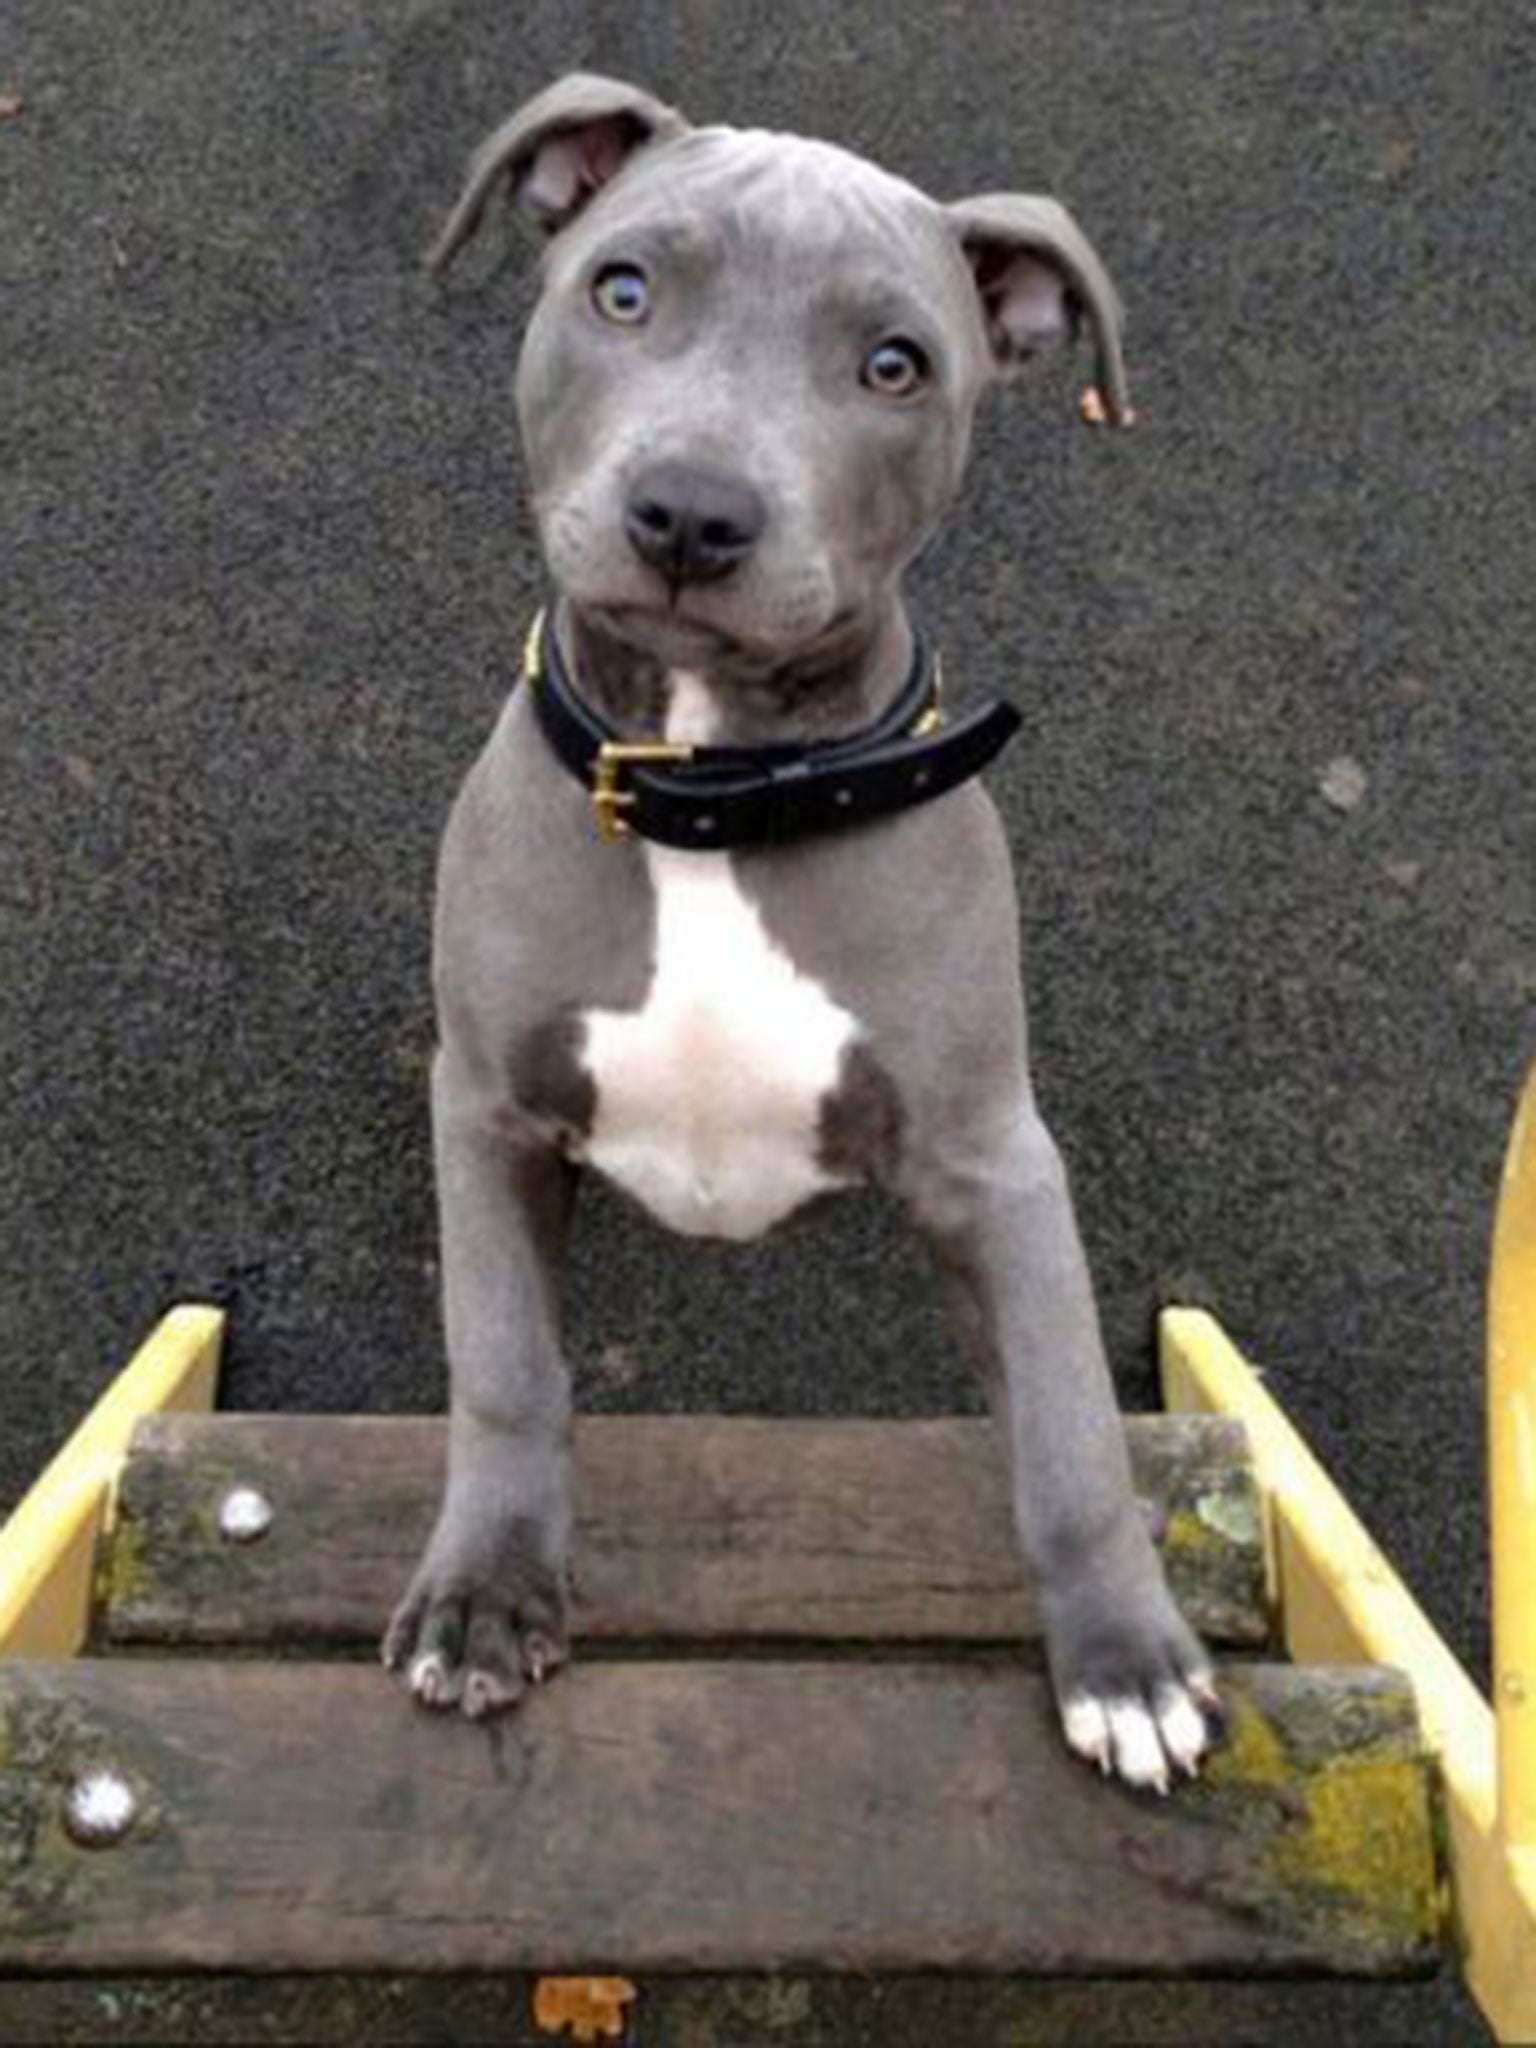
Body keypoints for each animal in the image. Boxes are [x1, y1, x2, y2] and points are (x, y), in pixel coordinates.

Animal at [378, 72, 1220, 1785]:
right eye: (623, 289)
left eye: (894, 365)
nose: (692, 515)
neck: (716, 790)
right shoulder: (484, 1104)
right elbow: (504, 1361)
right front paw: (487, 1592)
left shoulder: (993, 1153)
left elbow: (1073, 1427)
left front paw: (1127, 1662)